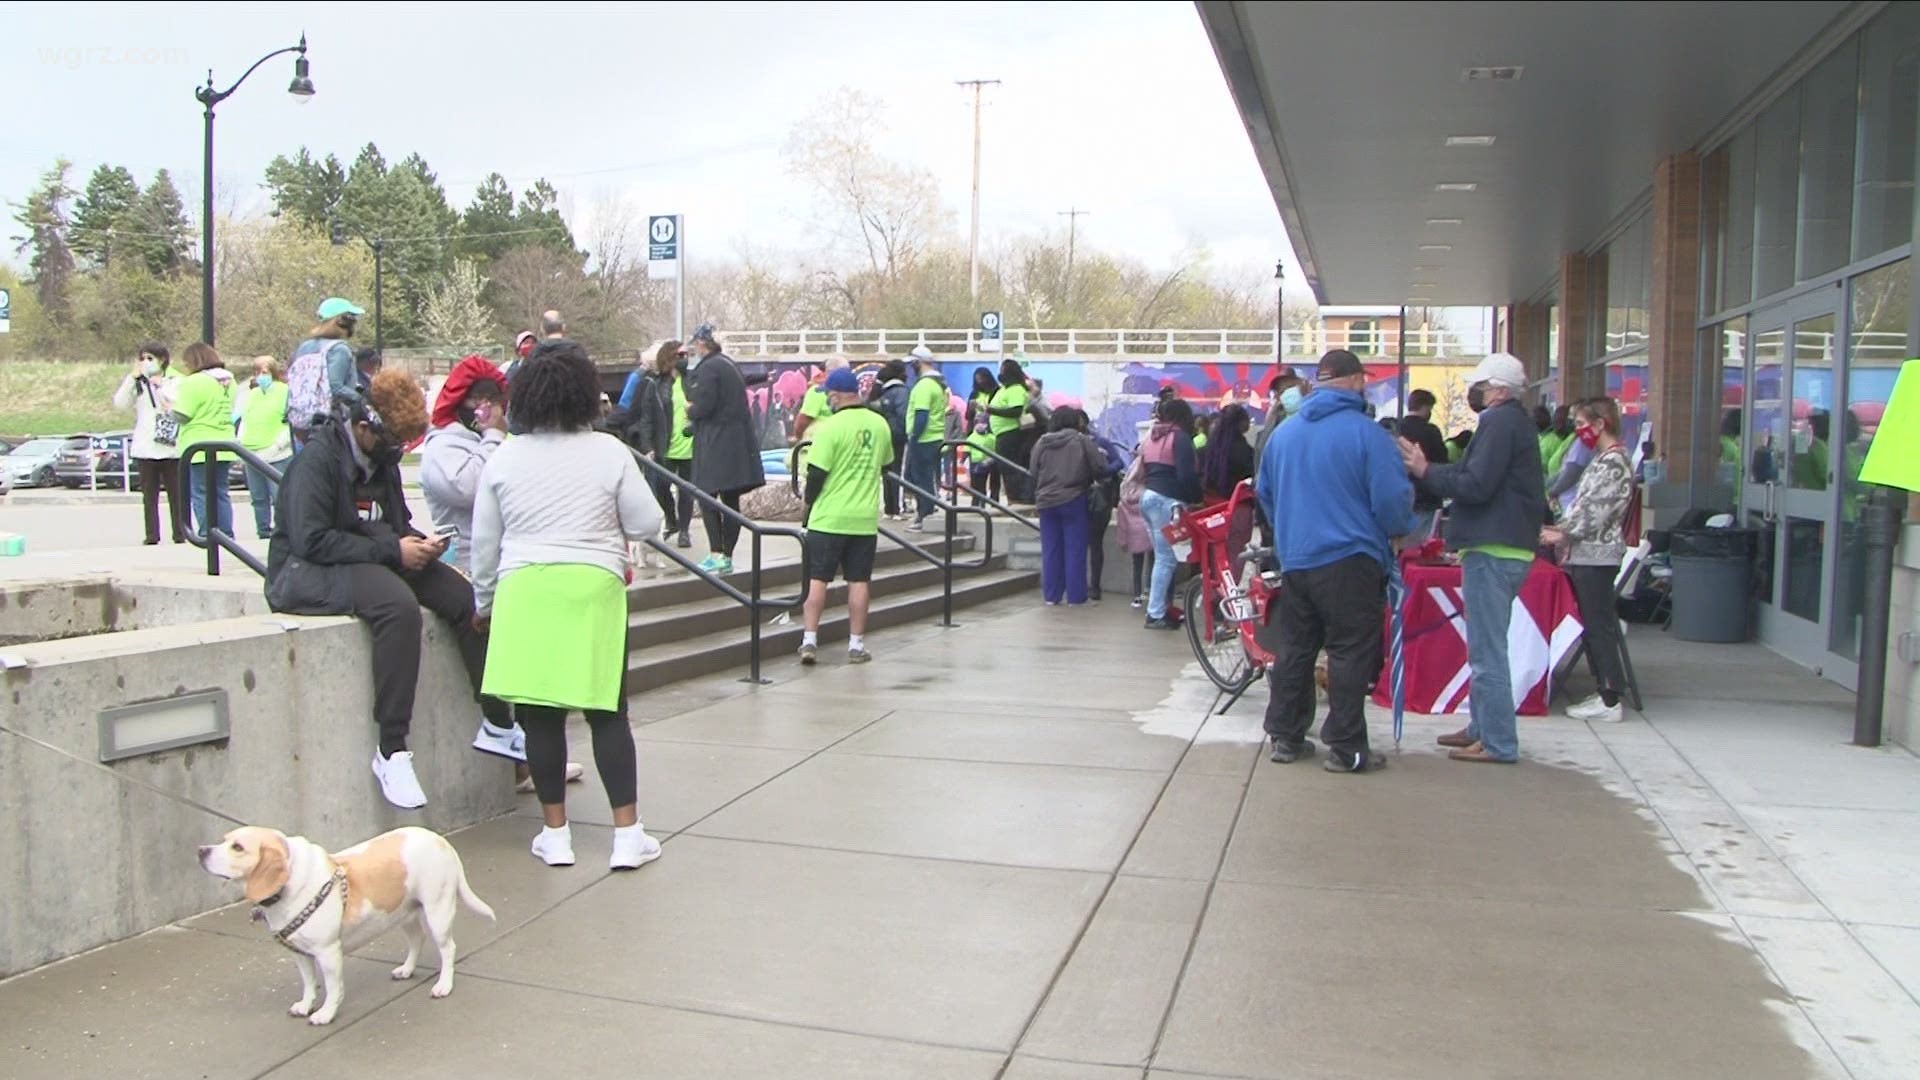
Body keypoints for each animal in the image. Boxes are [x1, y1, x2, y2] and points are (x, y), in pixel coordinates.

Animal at [194, 826, 491, 1022]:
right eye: (224, 841)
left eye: (238, 847)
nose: (200, 850)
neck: (290, 885)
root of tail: (440, 840)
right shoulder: (300, 955)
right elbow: (308, 983)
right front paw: (306, 1005)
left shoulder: (328, 954)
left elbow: (333, 987)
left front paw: (325, 1013)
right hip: (404, 913)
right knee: (417, 939)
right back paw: (406, 970)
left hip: (438, 913)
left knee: (448, 950)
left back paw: (444, 985)